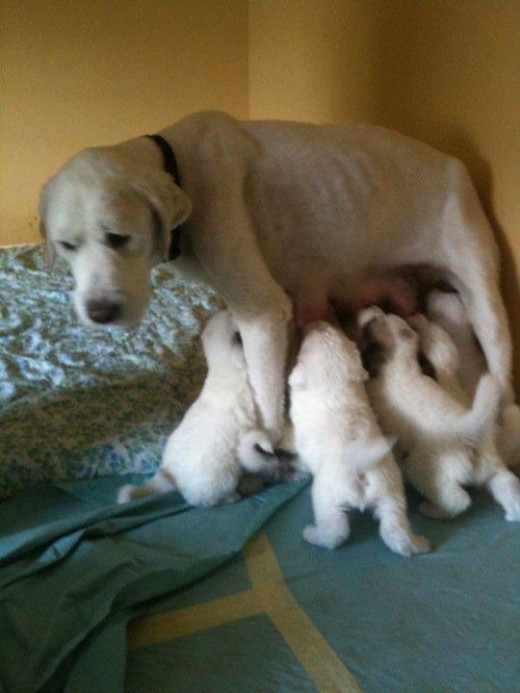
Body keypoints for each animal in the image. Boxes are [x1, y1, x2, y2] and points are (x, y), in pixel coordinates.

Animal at [39, 110, 512, 446]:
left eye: (119, 238)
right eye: (66, 246)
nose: (100, 312)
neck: (178, 168)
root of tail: (455, 164)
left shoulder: (262, 313)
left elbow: (265, 397)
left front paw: (264, 442)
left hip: (485, 302)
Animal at [117, 310, 282, 506]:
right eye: (231, 316)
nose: (228, 309)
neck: (221, 368)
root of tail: (168, 476)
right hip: (223, 478)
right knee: (212, 500)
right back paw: (234, 496)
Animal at [286, 322, 428, 556]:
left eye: (304, 346)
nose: (316, 322)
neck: (336, 383)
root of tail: (362, 467)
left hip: (327, 497)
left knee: (336, 532)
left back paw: (312, 534)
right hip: (392, 494)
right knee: (395, 529)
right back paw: (417, 544)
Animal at [360, 308, 520, 520]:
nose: (375, 310)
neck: (400, 365)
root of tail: (471, 435)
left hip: (421, 470)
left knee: (458, 500)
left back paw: (431, 510)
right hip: (492, 467)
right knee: (507, 482)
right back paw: (513, 513)